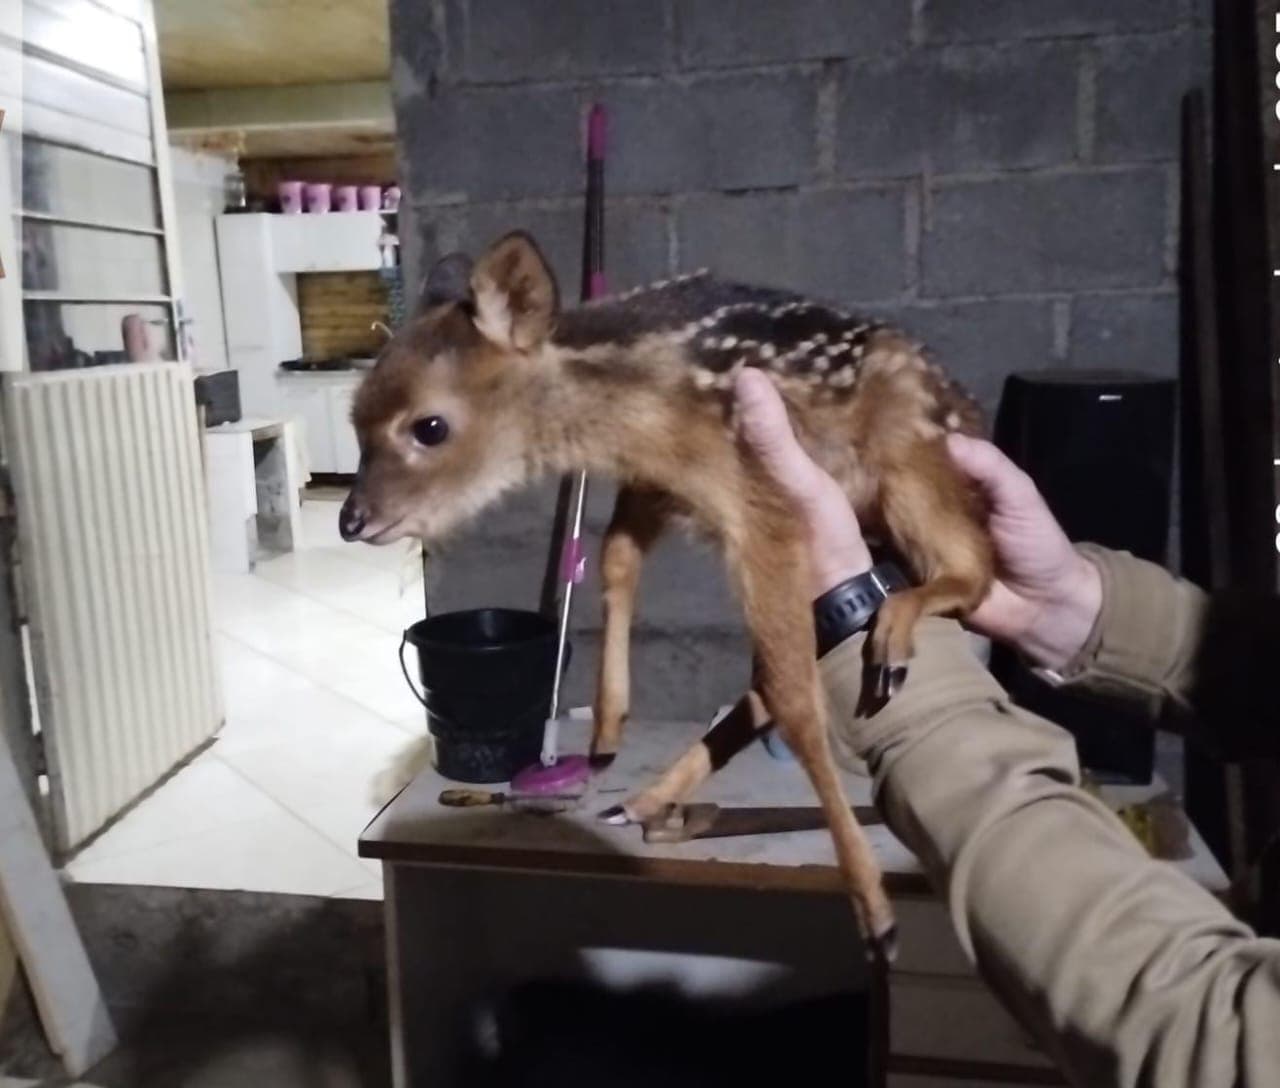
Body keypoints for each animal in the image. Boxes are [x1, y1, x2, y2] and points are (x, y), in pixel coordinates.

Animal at [340, 230, 995, 961]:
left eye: (429, 426)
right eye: (356, 422)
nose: (352, 520)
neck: (639, 408)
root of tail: (969, 411)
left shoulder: (764, 502)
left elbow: (799, 705)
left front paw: (875, 914)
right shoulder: (663, 481)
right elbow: (617, 556)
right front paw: (606, 726)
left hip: (911, 458)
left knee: (974, 570)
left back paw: (893, 634)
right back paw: (645, 799)